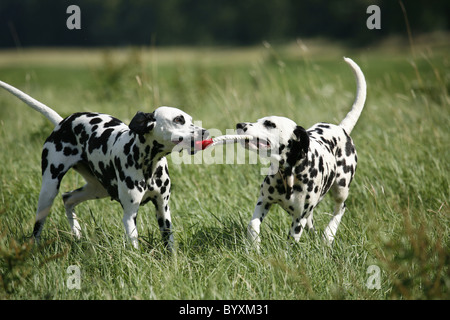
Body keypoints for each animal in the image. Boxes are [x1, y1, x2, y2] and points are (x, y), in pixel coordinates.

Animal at [0, 80, 207, 250]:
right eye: (178, 120)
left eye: (189, 119)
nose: (205, 132)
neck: (148, 163)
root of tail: (62, 122)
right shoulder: (130, 215)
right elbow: (134, 246)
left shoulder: (163, 210)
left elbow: (169, 244)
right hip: (48, 190)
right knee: (38, 226)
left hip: (97, 189)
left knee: (68, 198)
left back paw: (76, 233)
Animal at [236, 57, 366, 248]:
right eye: (259, 120)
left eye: (270, 124)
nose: (239, 125)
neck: (289, 174)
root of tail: (341, 128)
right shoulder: (264, 202)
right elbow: (253, 224)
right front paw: (254, 244)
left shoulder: (299, 218)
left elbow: (292, 241)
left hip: (341, 189)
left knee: (340, 209)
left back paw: (328, 235)